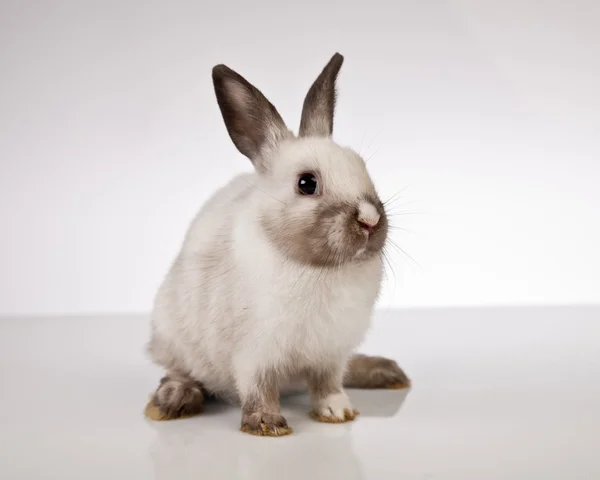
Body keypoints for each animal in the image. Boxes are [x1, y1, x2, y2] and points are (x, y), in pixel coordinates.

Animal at [145, 51, 410, 436]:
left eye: (362, 168)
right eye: (307, 183)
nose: (370, 220)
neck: (317, 268)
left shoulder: (331, 352)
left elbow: (328, 383)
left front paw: (338, 411)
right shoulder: (254, 353)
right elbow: (258, 387)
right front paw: (267, 425)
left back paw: (384, 371)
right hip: (173, 336)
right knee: (180, 371)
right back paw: (173, 399)